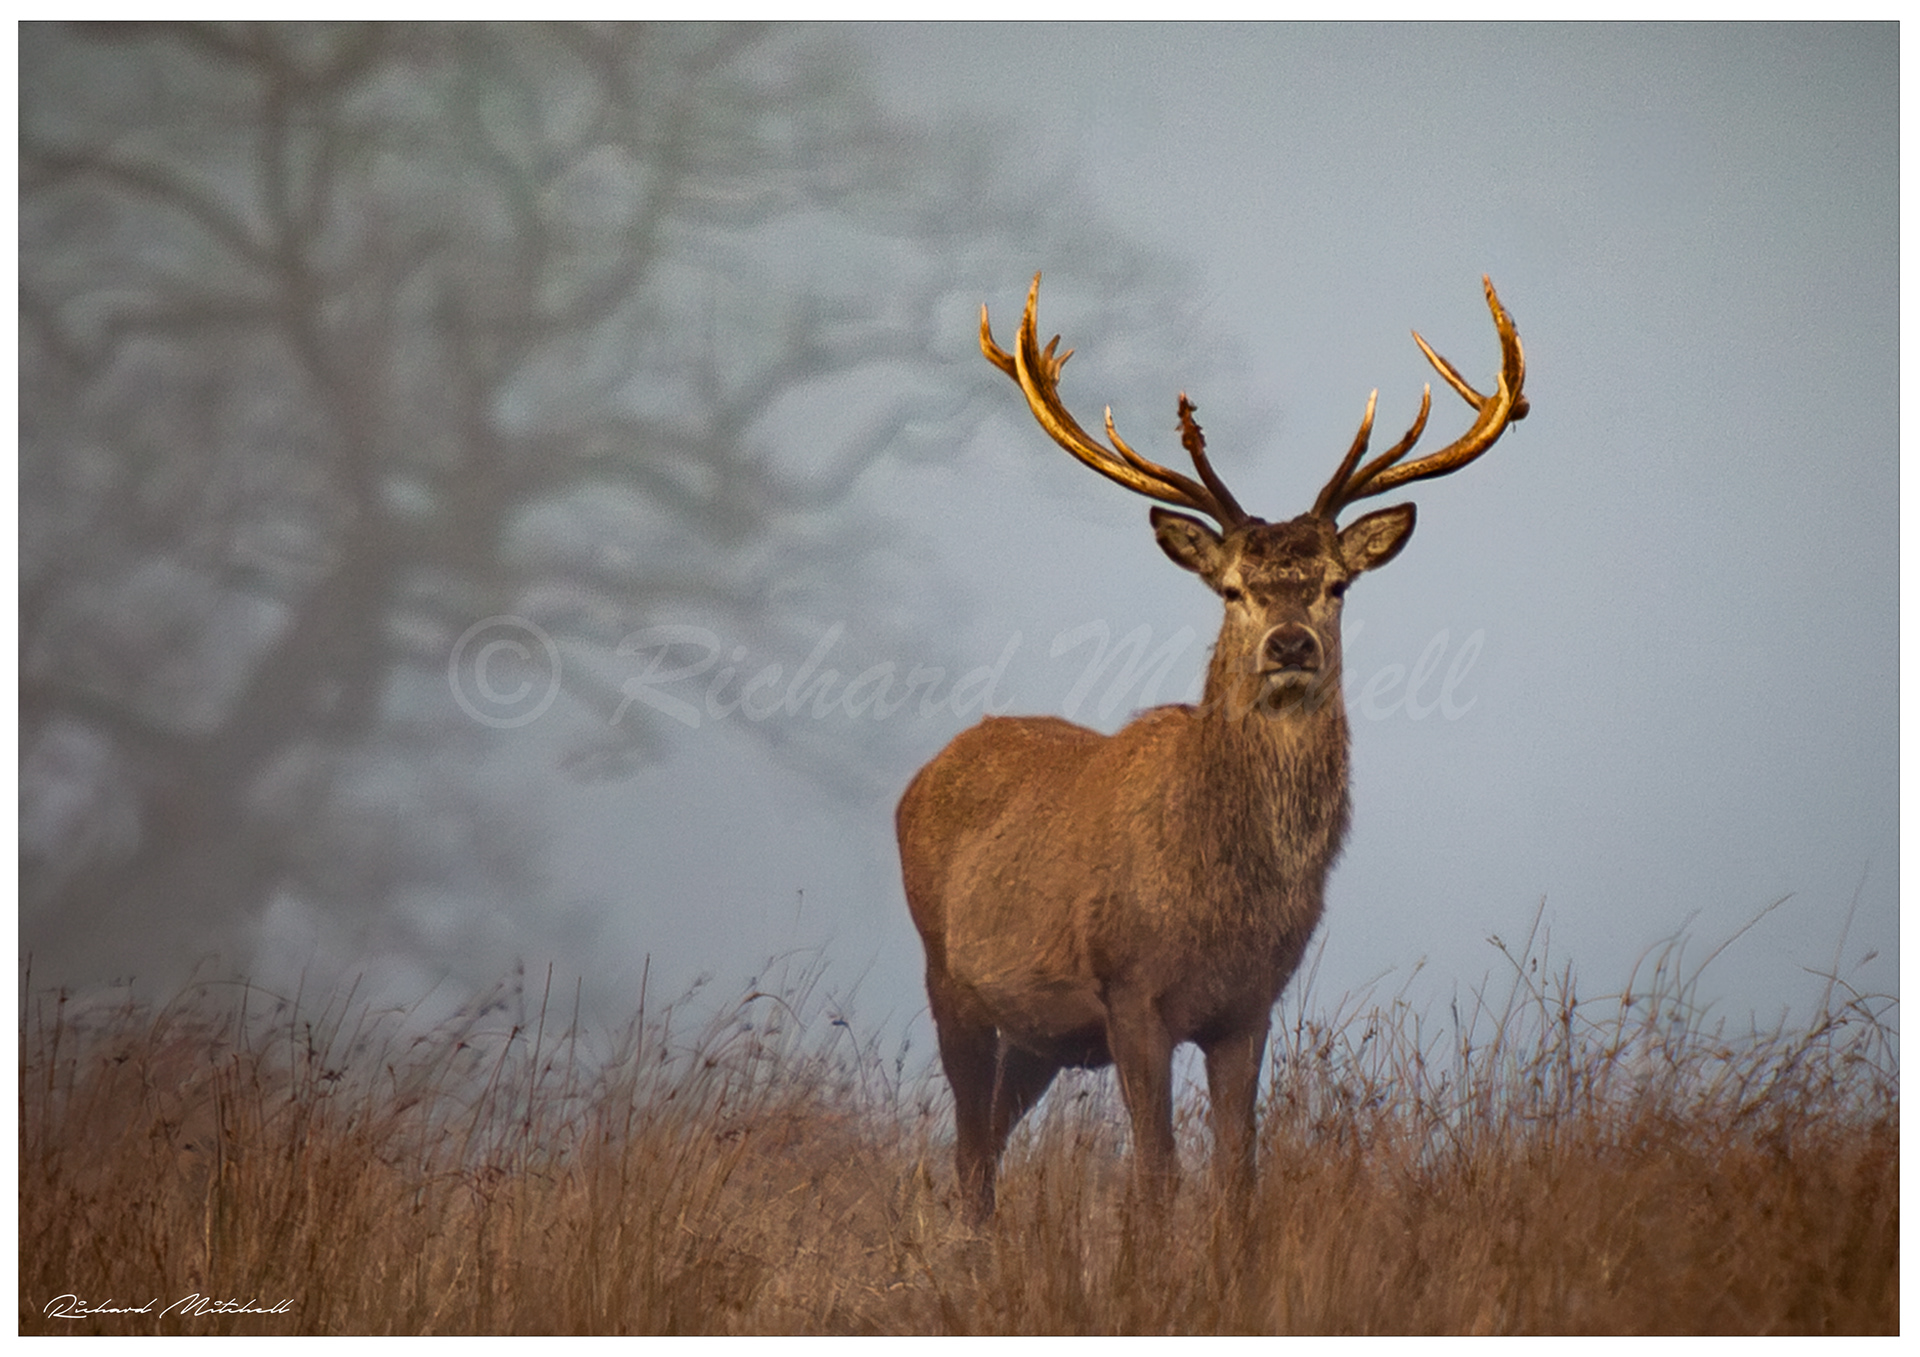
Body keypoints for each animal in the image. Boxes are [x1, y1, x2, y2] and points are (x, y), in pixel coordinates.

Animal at [896, 274, 1528, 1221]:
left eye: (1336, 584)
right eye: (1232, 589)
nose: (1290, 644)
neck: (1226, 897)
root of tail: (921, 776)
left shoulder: (1250, 1006)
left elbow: (1239, 1178)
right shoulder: (1130, 991)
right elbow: (1157, 1173)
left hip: (1041, 1035)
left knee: (990, 1140)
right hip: (950, 977)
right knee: (971, 1153)